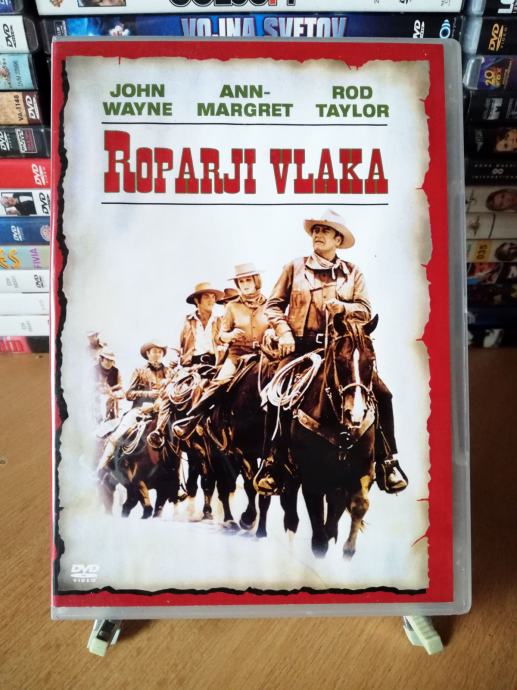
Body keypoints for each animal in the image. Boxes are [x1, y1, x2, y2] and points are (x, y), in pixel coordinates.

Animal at [289, 313, 379, 558]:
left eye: (371, 361)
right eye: (340, 361)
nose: (355, 414)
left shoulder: (358, 471)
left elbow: (358, 505)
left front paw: (349, 548)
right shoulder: (311, 478)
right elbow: (319, 538)